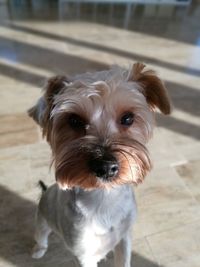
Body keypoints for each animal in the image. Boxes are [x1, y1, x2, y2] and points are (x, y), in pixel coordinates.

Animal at [28, 62, 171, 266]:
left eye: (128, 118)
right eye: (74, 120)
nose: (105, 167)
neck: (104, 197)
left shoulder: (124, 237)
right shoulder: (84, 254)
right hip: (41, 221)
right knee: (41, 237)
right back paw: (38, 250)